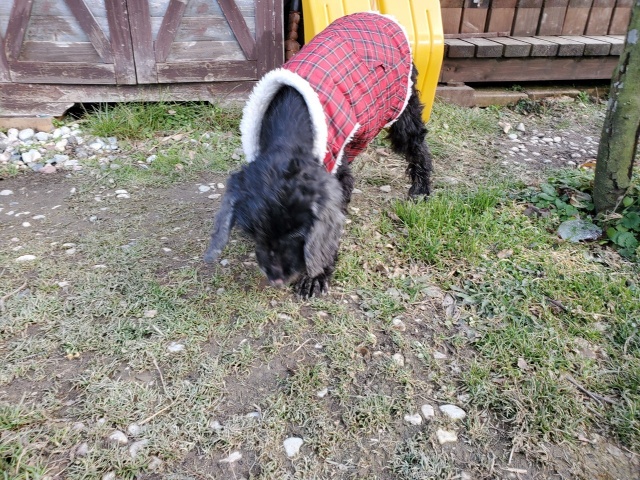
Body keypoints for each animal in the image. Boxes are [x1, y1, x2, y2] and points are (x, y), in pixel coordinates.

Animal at [204, 12, 432, 298]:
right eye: (255, 230)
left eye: (298, 232)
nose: (277, 278)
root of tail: (380, 16)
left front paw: (316, 276)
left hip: (402, 109)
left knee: (418, 146)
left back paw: (421, 189)